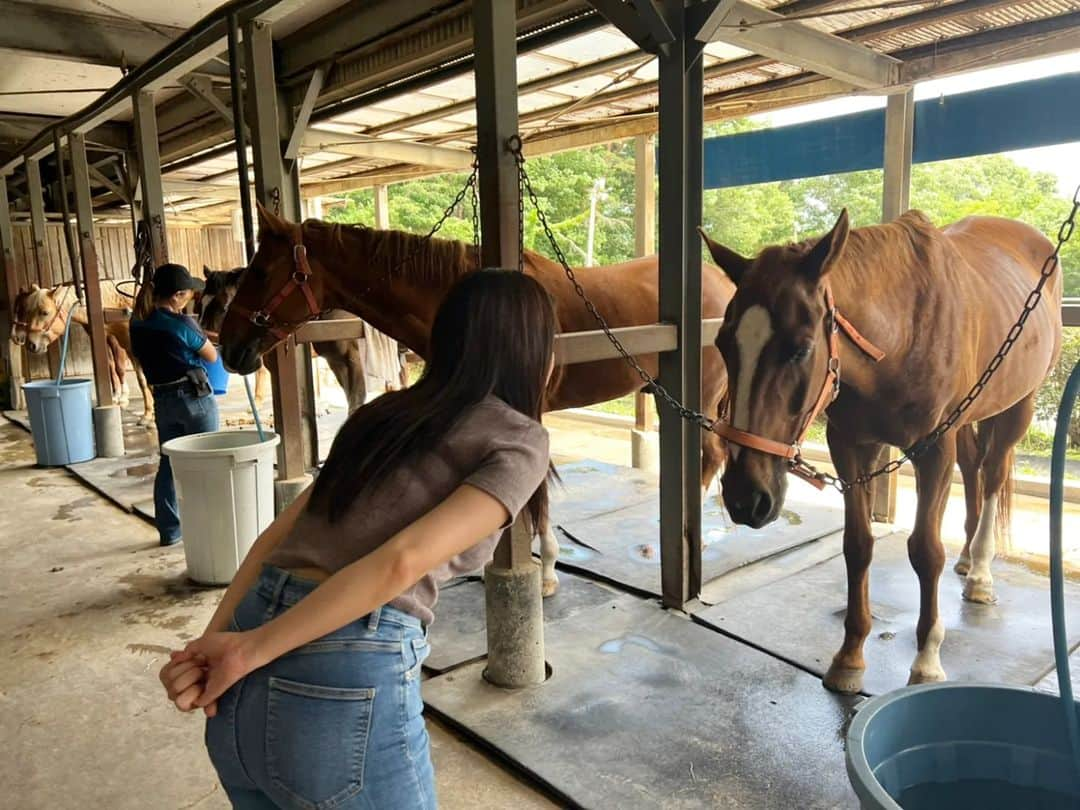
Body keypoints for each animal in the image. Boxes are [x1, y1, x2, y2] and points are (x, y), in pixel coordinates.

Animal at [11, 282, 155, 425]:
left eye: (44, 312)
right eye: (27, 311)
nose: (30, 344)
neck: (115, 307)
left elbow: (128, 371)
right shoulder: (127, 347)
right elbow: (140, 379)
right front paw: (148, 414)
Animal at [699, 210, 1062, 699]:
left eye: (801, 348)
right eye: (723, 343)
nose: (744, 498)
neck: (903, 331)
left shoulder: (934, 449)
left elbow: (925, 551)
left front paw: (926, 661)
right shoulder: (852, 445)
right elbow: (858, 545)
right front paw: (850, 656)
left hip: (1019, 405)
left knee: (994, 474)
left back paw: (982, 573)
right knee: (974, 468)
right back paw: (968, 557)